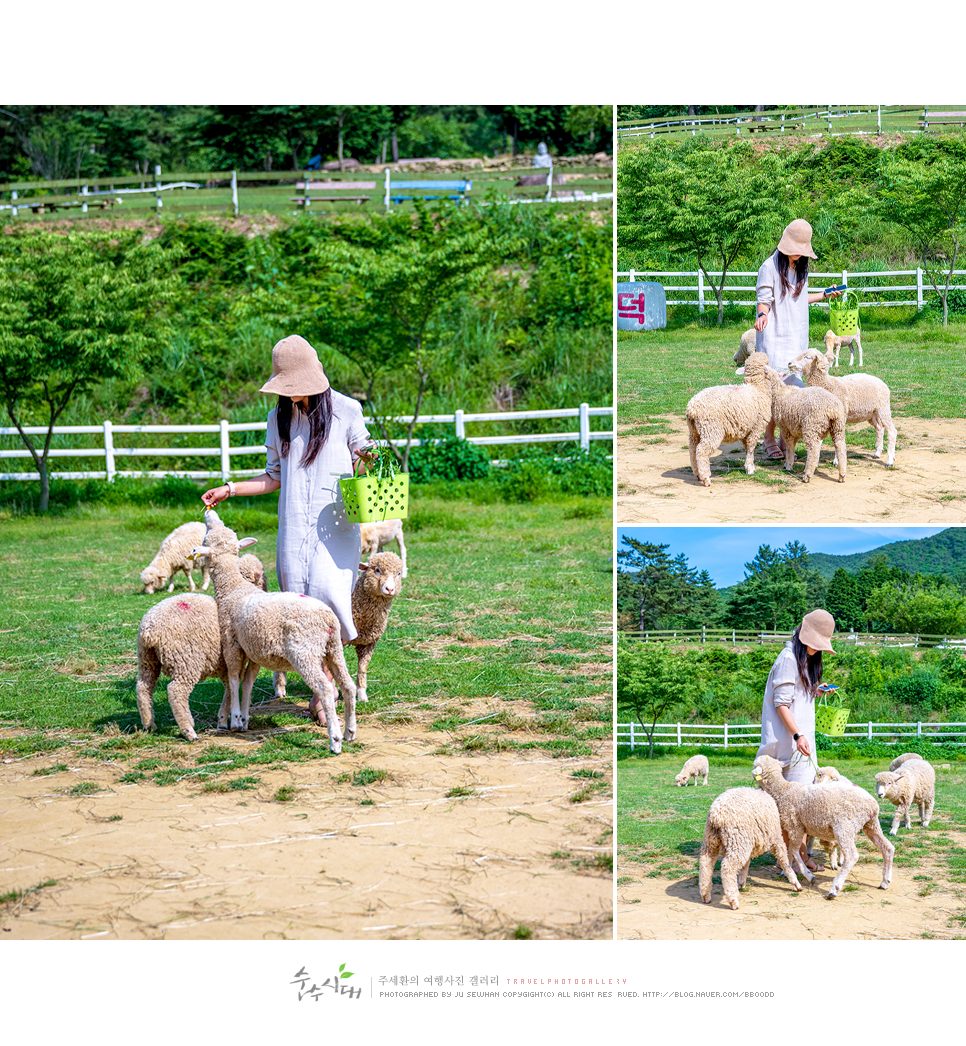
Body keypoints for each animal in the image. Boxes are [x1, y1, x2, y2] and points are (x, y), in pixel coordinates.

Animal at [133, 552, 269, 740]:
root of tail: (149, 630)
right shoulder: (235, 661)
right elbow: (232, 688)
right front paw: (228, 719)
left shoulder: (225, 666)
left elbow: (228, 688)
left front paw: (222, 720)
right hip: (185, 660)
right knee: (176, 691)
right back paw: (189, 731)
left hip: (147, 658)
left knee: (143, 688)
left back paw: (149, 724)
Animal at [193, 506, 357, 753]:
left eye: (205, 537)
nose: (209, 511)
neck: (232, 588)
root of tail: (328, 618)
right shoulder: (254, 650)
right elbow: (248, 681)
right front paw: (244, 718)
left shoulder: (231, 643)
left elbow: (233, 678)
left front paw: (234, 718)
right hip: (333, 649)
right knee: (348, 686)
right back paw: (350, 731)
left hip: (305, 652)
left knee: (326, 689)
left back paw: (335, 740)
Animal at [349, 548, 401, 702]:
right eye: (377, 570)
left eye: (398, 573)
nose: (389, 589)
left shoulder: (369, 642)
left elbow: (362, 669)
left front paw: (362, 695)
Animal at [681, 347, 773, 485]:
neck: (756, 388)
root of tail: (692, 408)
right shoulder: (755, 428)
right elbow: (751, 447)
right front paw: (750, 468)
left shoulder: (745, 430)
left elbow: (747, 448)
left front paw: (748, 466)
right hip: (711, 429)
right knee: (701, 451)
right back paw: (706, 478)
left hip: (694, 431)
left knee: (692, 450)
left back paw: (697, 474)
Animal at [752, 753, 894, 899]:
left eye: (754, 764)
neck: (783, 790)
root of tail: (872, 804)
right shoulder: (791, 827)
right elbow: (789, 850)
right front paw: (787, 872)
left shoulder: (795, 826)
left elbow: (794, 851)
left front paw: (808, 875)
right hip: (871, 824)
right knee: (888, 848)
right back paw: (885, 881)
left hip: (844, 827)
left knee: (852, 856)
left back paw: (835, 888)